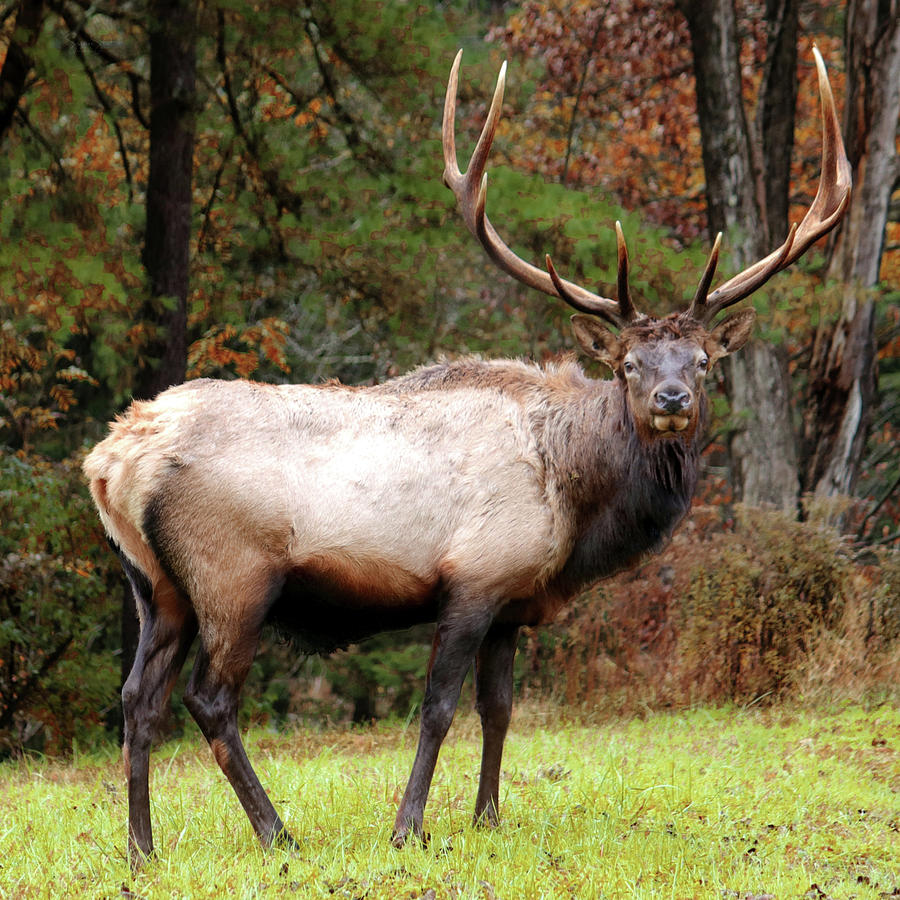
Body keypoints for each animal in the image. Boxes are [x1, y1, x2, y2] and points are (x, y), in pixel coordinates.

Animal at [84, 45, 852, 860]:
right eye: (628, 365)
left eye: (703, 361)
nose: (671, 400)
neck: (573, 500)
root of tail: (109, 462)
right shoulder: (473, 579)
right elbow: (438, 709)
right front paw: (408, 827)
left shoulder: (512, 601)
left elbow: (501, 708)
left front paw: (488, 817)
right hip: (232, 575)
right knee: (209, 700)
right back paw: (276, 832)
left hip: (155, 586)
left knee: (138, 698)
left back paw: (142, 847)